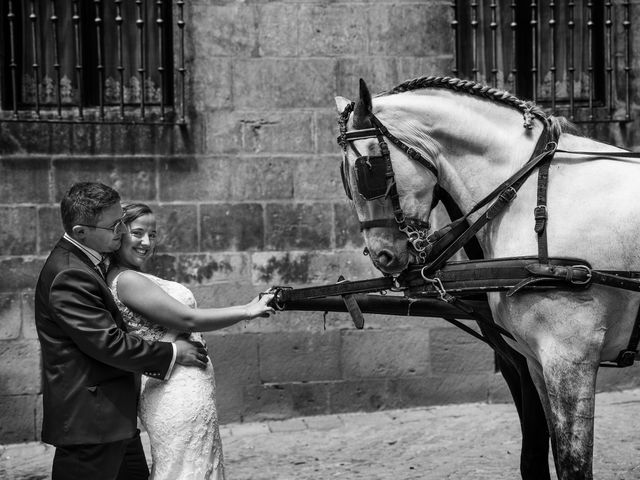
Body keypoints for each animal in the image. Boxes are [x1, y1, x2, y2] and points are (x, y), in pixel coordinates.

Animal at [336, 76, 640, 480]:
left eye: (366, 169)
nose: (382, 256)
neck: (533, 194)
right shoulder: (532, 360)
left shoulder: (569, 355)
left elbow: (572, 464)